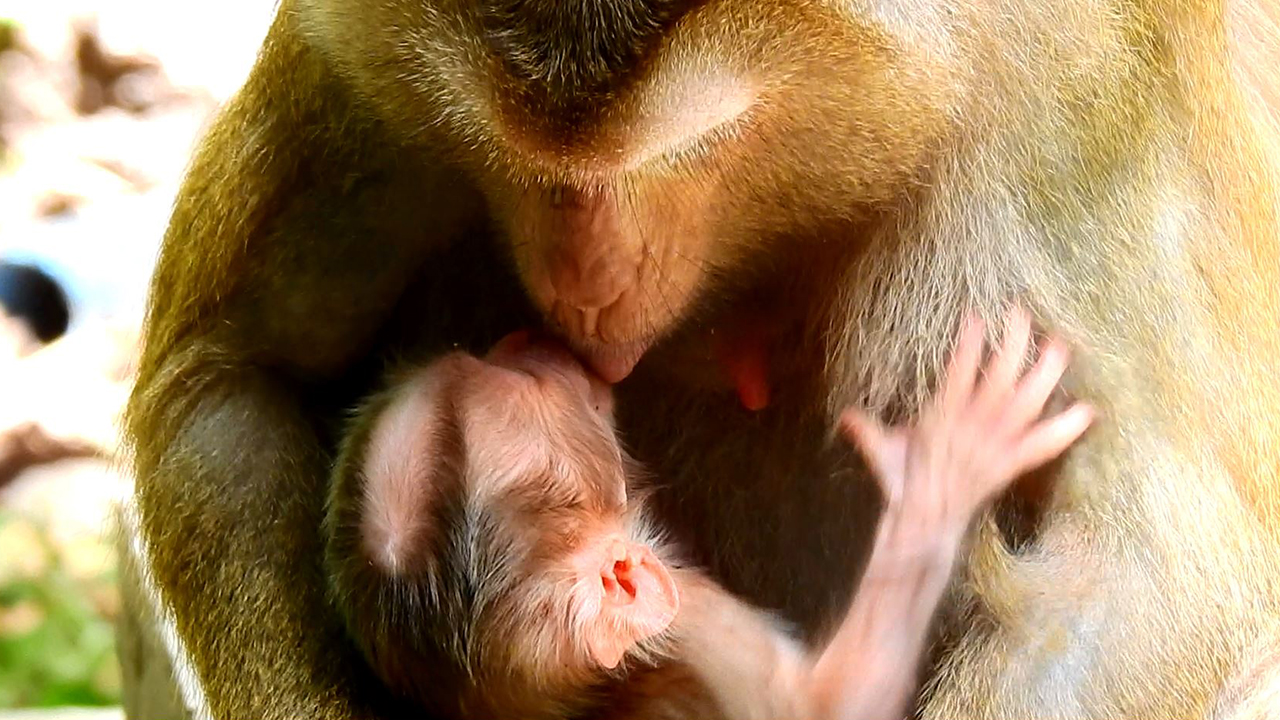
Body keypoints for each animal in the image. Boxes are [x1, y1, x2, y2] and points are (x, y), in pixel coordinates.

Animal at [327, 308, 1090, 717]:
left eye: (494, 363)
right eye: (535, 384)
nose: (529, 338)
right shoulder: (694, 620)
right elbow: (828, 702)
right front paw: (949, 462)